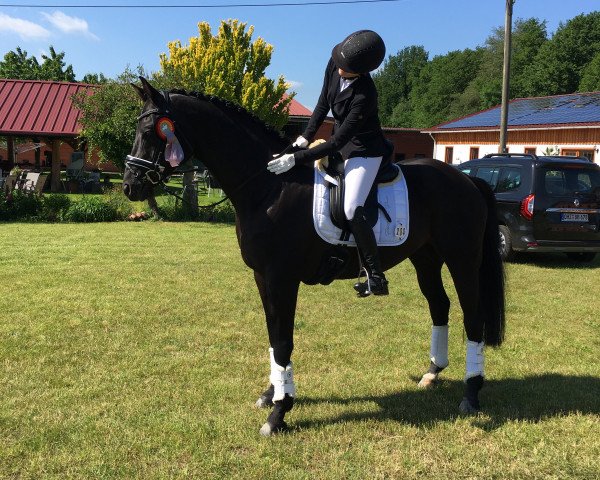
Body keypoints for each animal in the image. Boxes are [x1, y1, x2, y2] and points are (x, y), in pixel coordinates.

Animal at [123, 78, 506, 436]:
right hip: (425, 258)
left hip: (462, 260)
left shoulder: (282, 278)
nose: (130, 186)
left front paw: (279, 413)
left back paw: (471, 395)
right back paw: (431, 374)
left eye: (150, 131)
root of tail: (468, 181)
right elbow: (273, 337)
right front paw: (271, 394)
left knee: (472, 317)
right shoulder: (263, 277)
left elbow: (283, 340)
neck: (269, 187)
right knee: (439, 306)